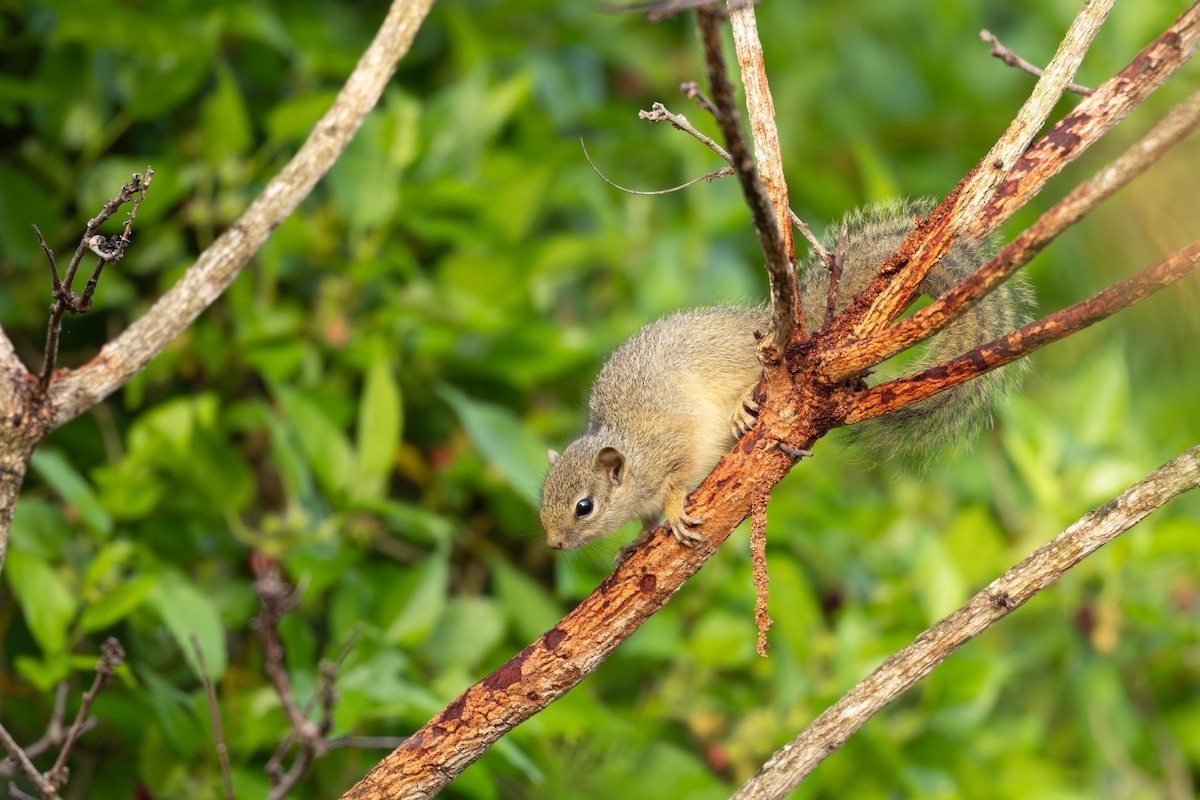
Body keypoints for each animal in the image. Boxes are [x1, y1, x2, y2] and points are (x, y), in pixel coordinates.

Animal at [540, 198, 1032, 557]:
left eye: (584, 507)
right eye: (543, 498)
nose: (554, 543)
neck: (632, 453)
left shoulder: (670, 448)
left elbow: (677, 482)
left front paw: (675, 511)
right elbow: (645, 522)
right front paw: (634, 544)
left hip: (734, 363)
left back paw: (743, 404)